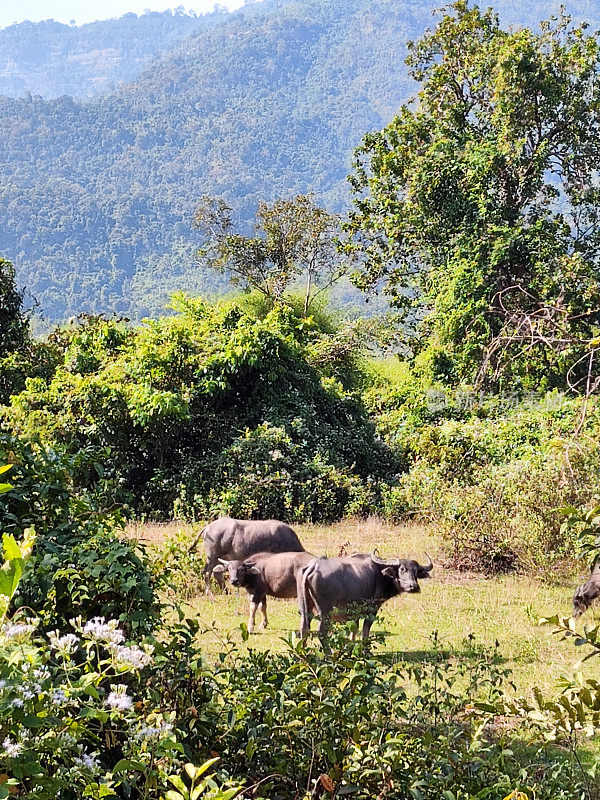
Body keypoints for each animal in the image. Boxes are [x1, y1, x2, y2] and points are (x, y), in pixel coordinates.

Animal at [298, 552, 434, 640]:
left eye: (415, 571)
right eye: (402, 569)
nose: (413, 586)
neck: (380, 574)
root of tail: (313, 566)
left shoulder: (354, 613)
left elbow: (354, 629)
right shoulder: (373, 608)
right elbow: (365, 630)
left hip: (305, 608)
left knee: (304, 629)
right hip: (325, 611)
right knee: (322, 632)